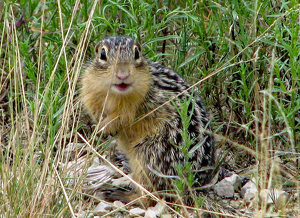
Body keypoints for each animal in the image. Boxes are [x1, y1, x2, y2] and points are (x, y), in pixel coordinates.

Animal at [81, 35, 214, 204]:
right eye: (102, 54)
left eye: (137, 53)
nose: (122, 75)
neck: (115, 94)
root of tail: (194, 183)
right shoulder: (90, 92)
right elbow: (96, 111)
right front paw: (99, 128)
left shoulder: (133, 107)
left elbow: (121, 118)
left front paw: (103, 128)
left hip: (149, 157)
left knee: (151, 197)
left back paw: (122, 195)